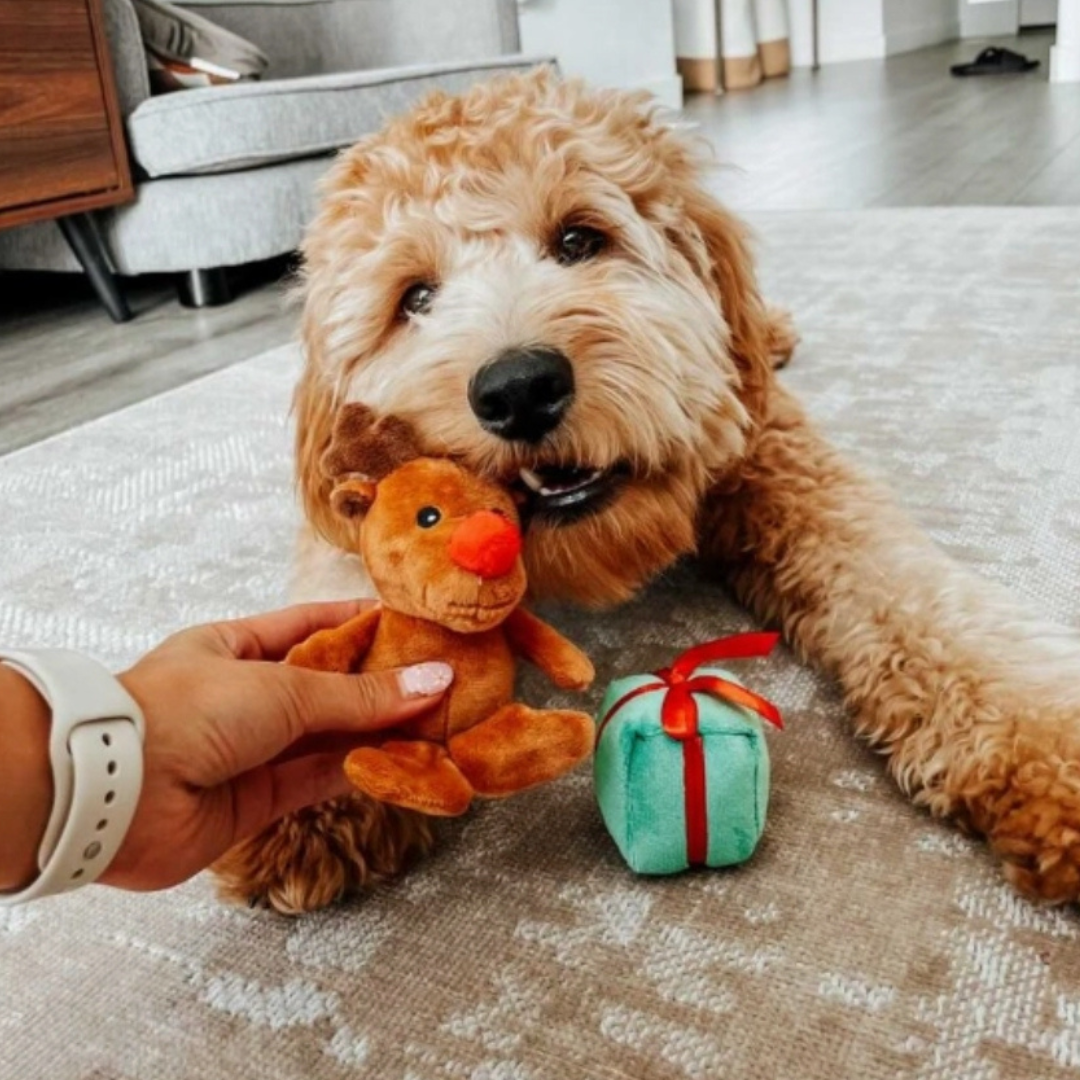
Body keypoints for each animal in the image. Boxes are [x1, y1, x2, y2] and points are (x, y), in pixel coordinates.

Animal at [212, 65, 1080, 911]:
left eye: (579, 239)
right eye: (415, 299)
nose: (519, 388)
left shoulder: (777, 458)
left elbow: (919, 600)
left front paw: (1045, 744)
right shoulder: (359, 488)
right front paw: (311, 795)